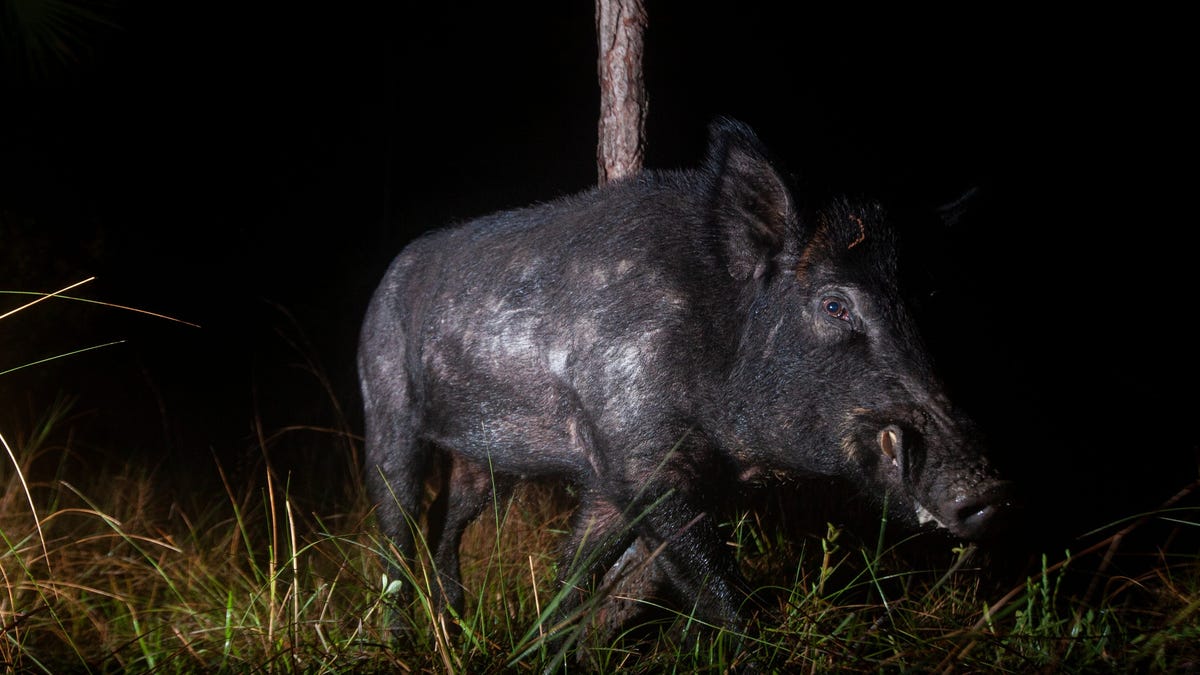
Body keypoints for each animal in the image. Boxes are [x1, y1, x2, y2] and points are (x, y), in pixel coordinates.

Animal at [357, 117, 1015, 632]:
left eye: (926, 301)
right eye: (834, 305)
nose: (990, 493)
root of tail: (387, 275)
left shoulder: (609, 479)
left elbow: (574, 577)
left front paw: (544, 642)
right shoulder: (642, 457)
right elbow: (720, 593)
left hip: (486, 464)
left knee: (447, 523)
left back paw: (453, 618)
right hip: (385, 409)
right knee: (396, 527)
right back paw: (402, 635)